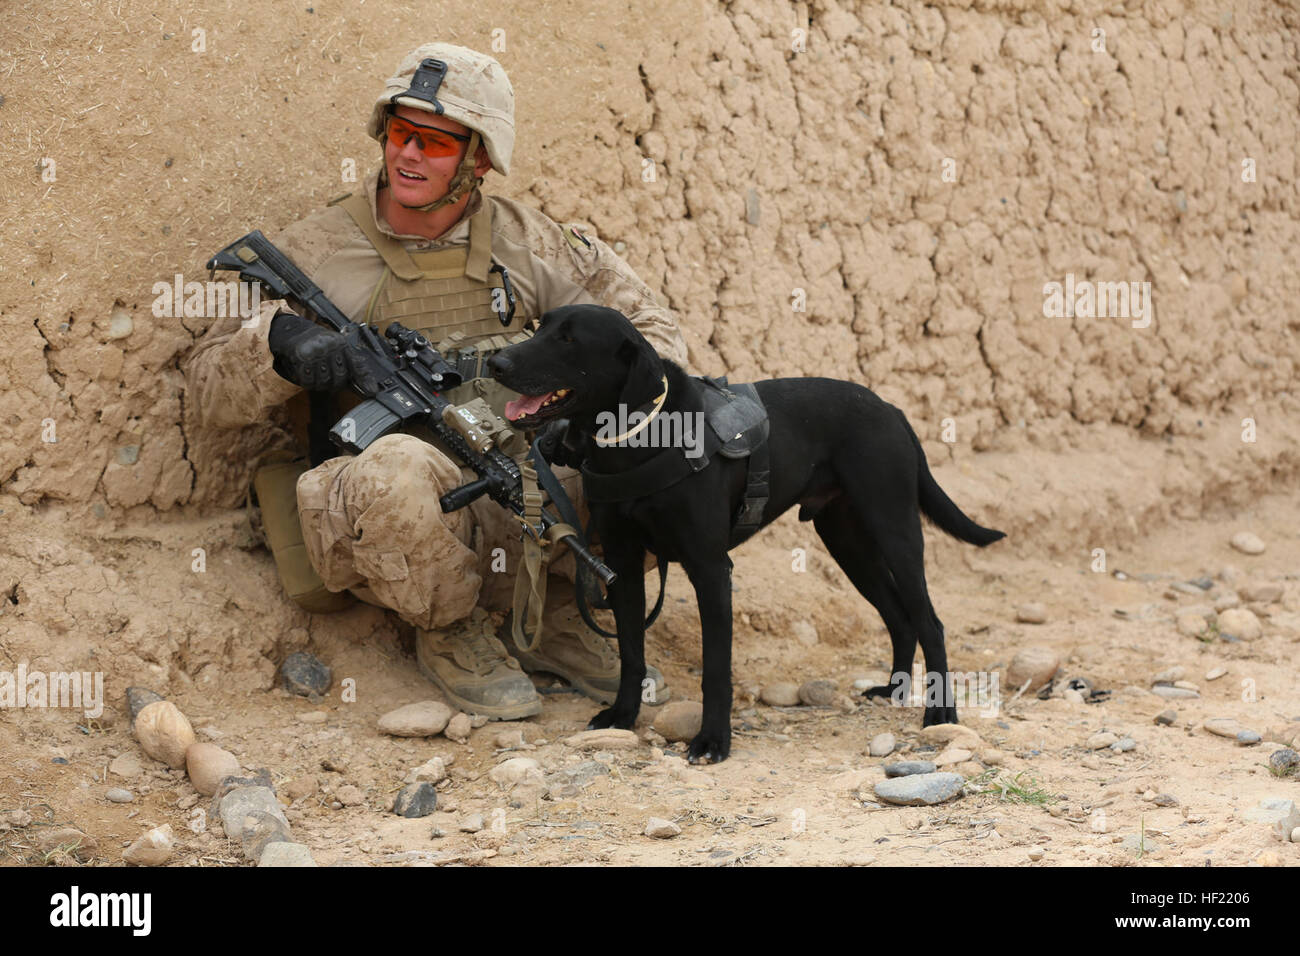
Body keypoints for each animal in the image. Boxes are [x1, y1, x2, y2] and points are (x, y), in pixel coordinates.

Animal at [488, 304, 1003, 764]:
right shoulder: (622, 563)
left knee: (929, 622)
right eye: (539, 326)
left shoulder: (711, 568)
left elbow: (716, 668)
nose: (497, 363)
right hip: (848, 543)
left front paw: (713, 740)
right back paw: (894, 691)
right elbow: (632, 653)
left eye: (569, 340)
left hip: (894, 530)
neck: (638, 439)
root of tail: (892, 409)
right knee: (899, 618)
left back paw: (940, 714)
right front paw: (622, 715)